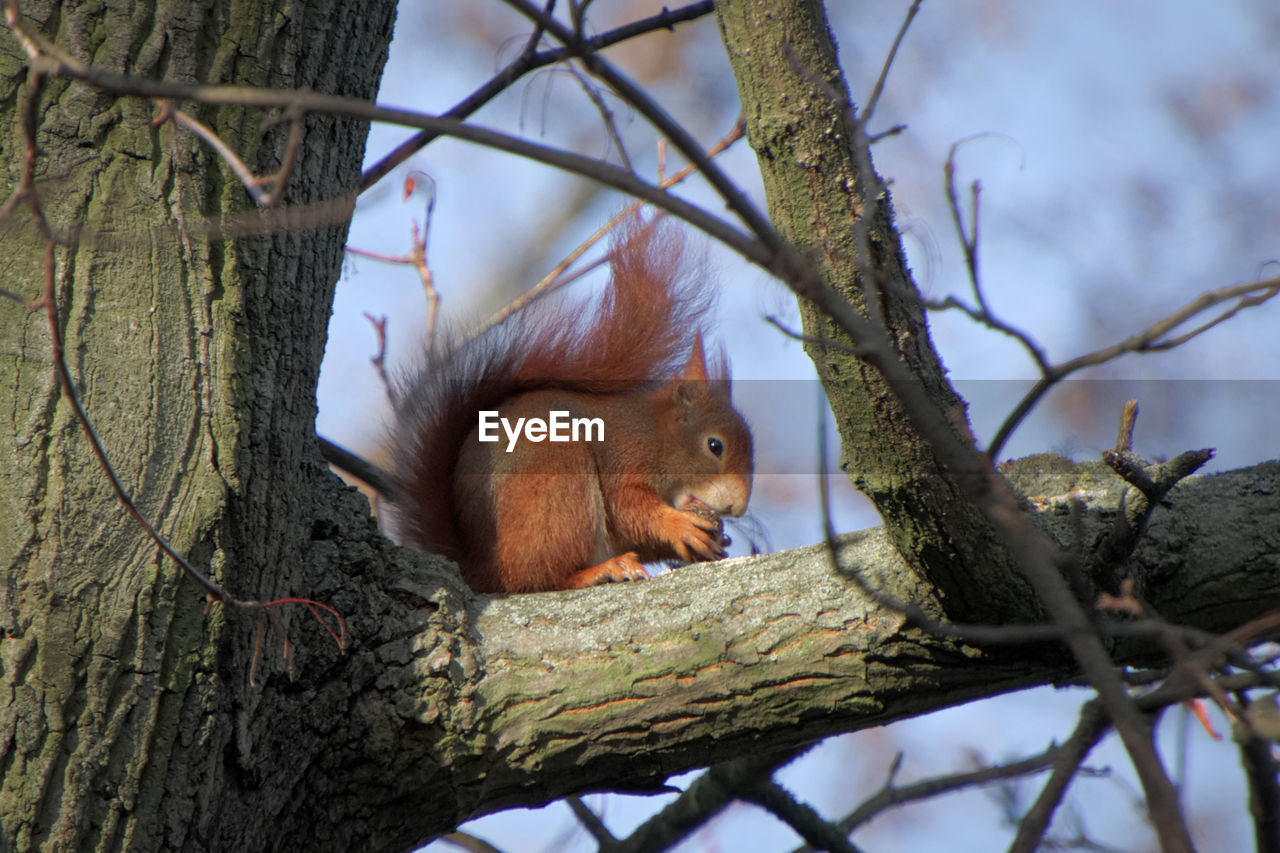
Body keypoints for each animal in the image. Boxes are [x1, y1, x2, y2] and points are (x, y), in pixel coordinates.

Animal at [384, 219, 752, 591]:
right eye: (715, 446)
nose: (736, 508)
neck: (654, 435)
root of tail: (482, 570)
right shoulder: (623, 454)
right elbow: (628, 508)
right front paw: (680, 526)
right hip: (558, 479)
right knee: (542, 578)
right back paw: (600, 570)